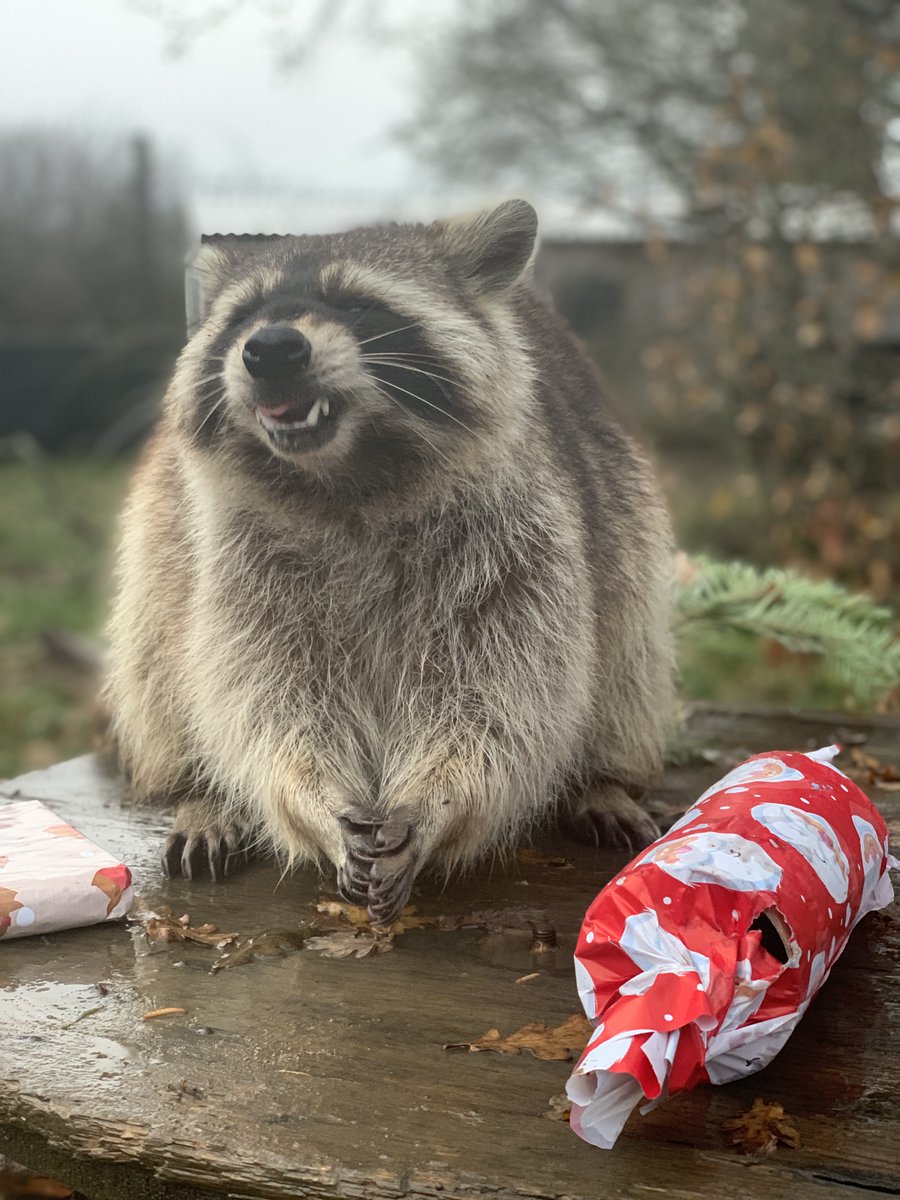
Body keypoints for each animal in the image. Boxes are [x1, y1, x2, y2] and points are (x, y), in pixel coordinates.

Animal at [105, 200, 674, 924]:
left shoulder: (520, 542)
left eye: (357, 304)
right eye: (245, 315)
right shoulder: (236, 559)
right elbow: (264, 693)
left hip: (622, 509)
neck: (343, 477)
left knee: (629, 654)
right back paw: (201, 791)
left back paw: (602, 780)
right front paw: (310, 796)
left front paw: (439, 798)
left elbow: (501, 693)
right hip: (161, 534)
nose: (270, 348)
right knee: (158, 656)